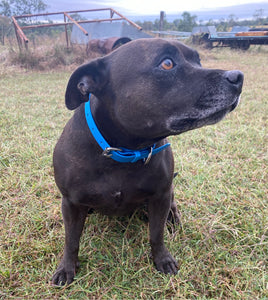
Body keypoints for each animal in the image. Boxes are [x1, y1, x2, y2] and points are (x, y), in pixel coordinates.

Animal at [51, 38, 244, 284]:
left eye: (198, 60)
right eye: (167, 63)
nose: (238, 76)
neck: (124, 150)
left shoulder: (160, 196)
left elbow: (156, 234)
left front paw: (162, 259)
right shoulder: (71, 203)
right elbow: (71, 240)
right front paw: (66, 268)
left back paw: (174, 218)